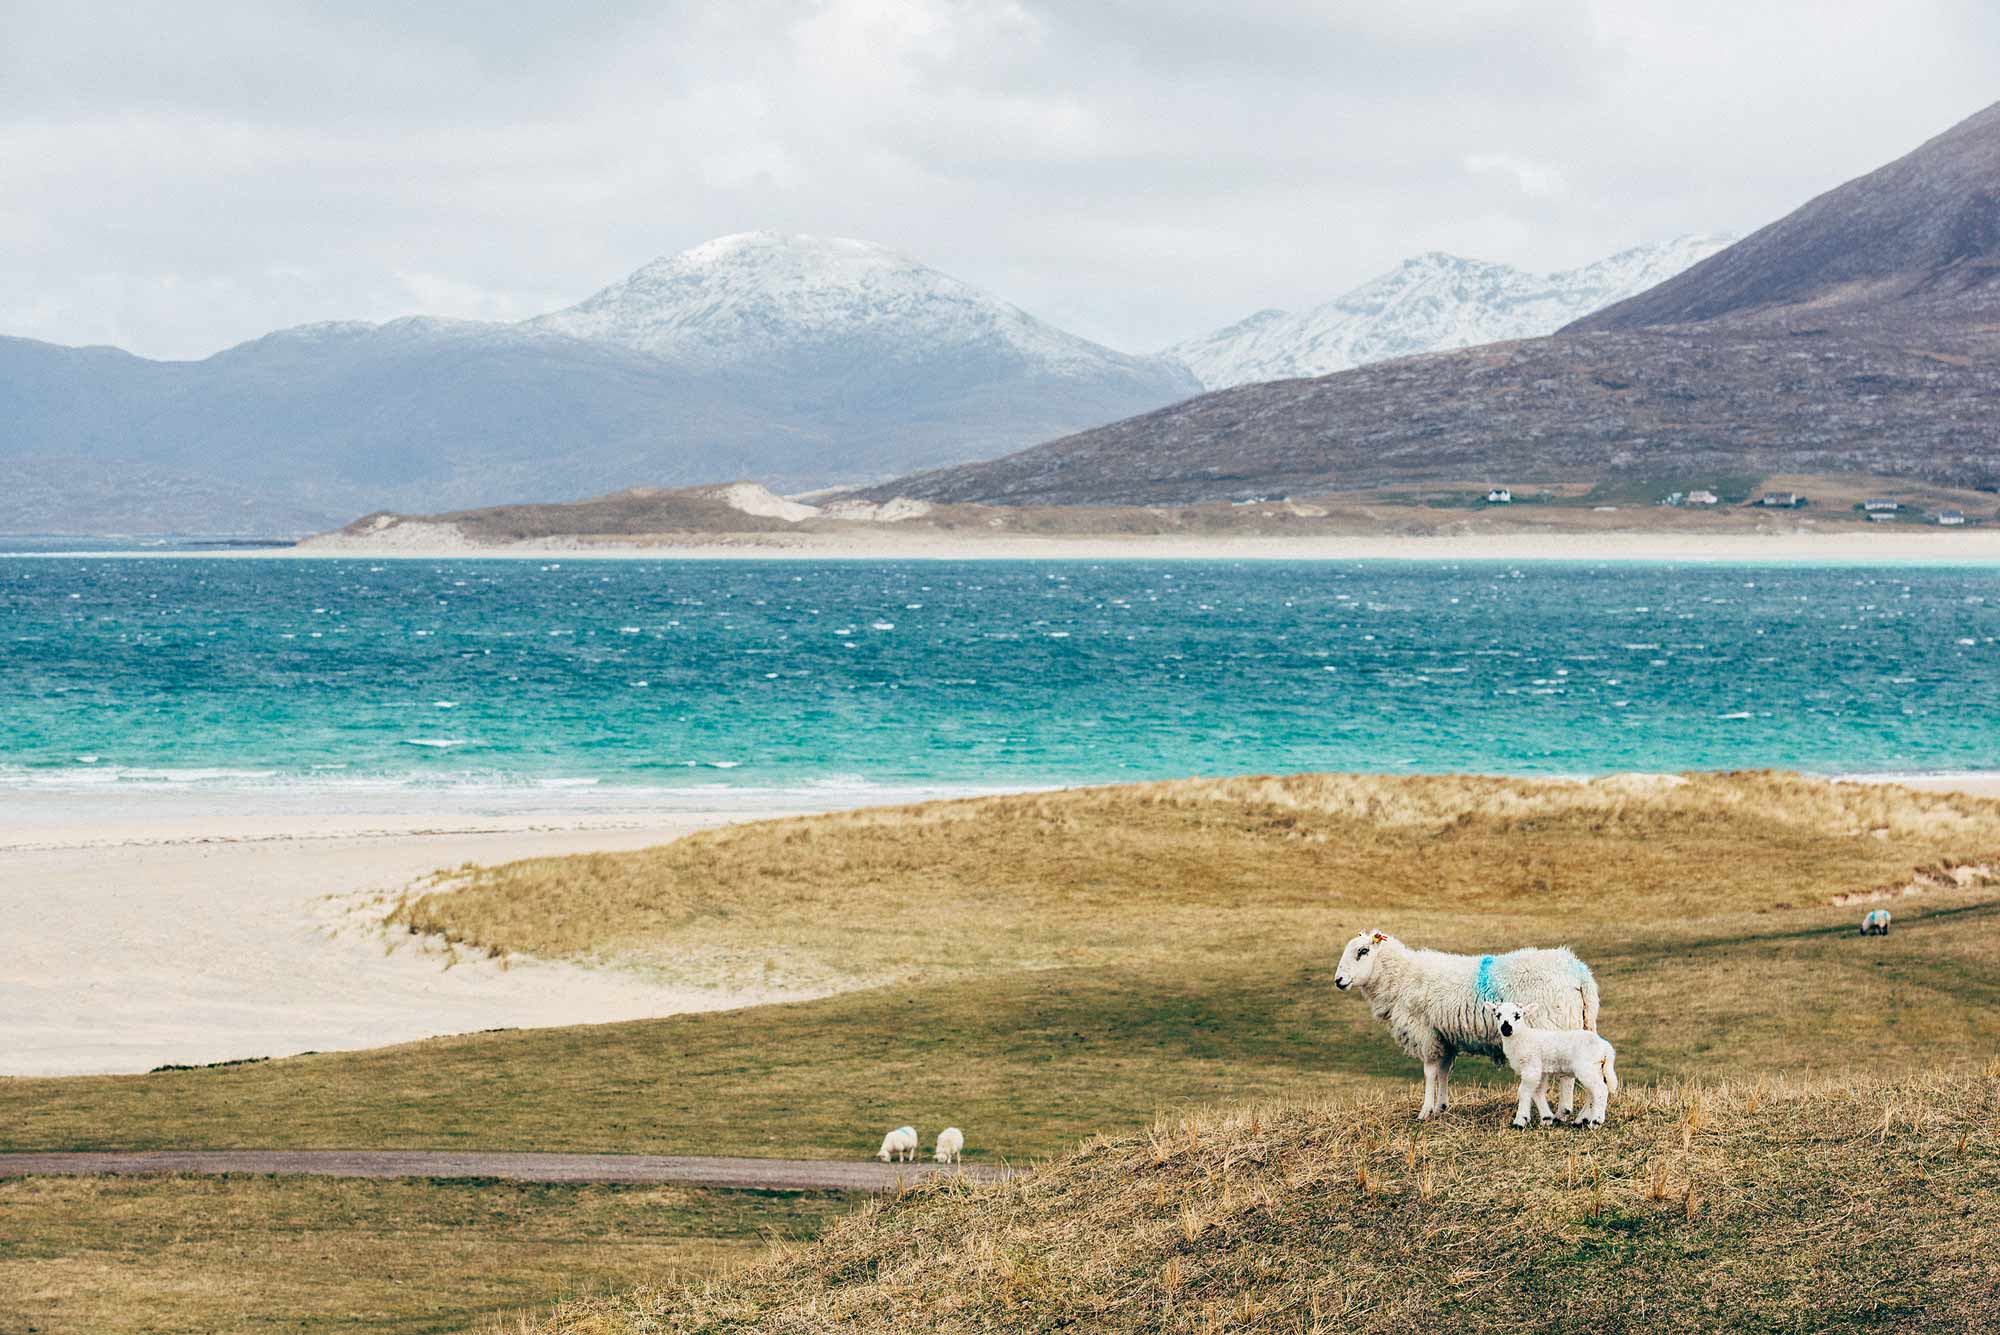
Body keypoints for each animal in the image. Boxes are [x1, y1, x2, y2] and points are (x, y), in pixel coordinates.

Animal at [1336, 927, 1600, 1127]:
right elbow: (1444, 1072)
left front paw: (1424, 1111)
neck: (1400, 977)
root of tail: (1579, 972)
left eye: (1362, 951)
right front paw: (1441, 1107)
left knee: (1567, 1077)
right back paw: (1579, 1115)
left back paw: (1562, 1113)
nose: (1338, 981)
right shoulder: (1444, 1037)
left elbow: (1429, 1073)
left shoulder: (1426, 1034)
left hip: (1557, 1028)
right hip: (1578, 1027)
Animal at [1488, 999, 1624, 1127]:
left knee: (1600, 1090)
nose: (1506, 1029)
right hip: (1596, 1068)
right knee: (1591, 1093)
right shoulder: (1540, 1070)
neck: (1522, 1037)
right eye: (1498, 1015)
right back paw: (1580, 1121)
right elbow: (1538, 1092)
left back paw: (1596, 1122)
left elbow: (1523, 1091)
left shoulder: (1531, 1067)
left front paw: (1520, 1121)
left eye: (1518, 1015)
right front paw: (1546, 1118)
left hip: (1587, 1068)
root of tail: (1606, 1047)